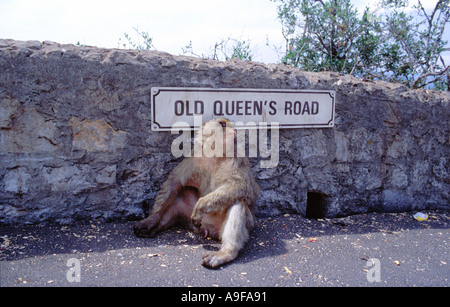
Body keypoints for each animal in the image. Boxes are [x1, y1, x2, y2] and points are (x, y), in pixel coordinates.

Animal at [134, 118, 258, 270]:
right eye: (223, 124)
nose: (234, 131)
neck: (215, 154)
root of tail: (210, 229)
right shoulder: (194, 156)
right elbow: (174, 182)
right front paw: (151, 220)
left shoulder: (235, 158)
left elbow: (241, 187)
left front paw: (200, 206)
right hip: (190, 220)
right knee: (179, 197)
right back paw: (154, 227)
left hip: (247, 224)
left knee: (238, 201)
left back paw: (225, 253)